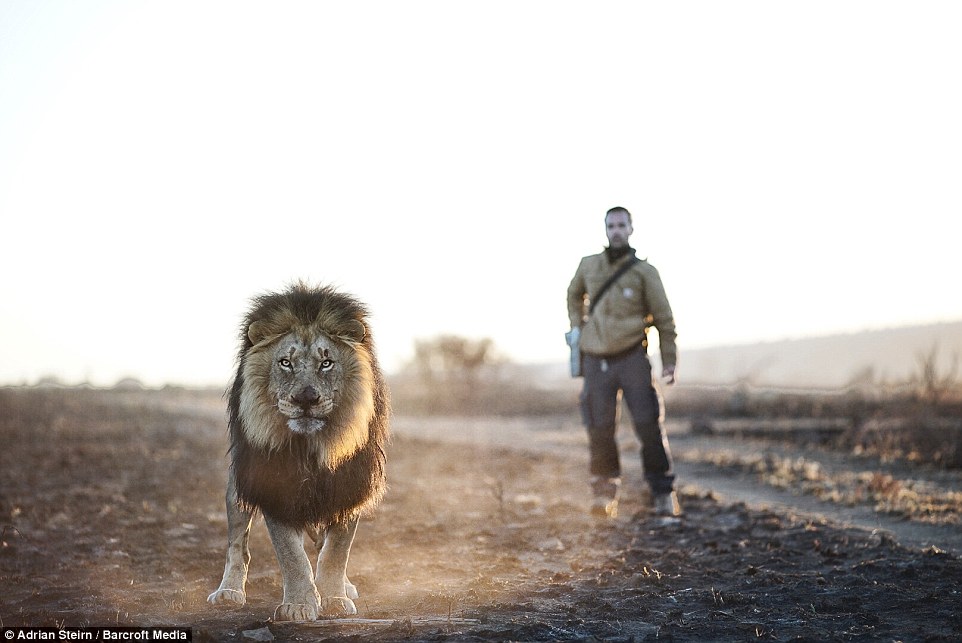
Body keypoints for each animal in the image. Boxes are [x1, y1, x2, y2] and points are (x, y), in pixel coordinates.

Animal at [208, 284, 388, 620]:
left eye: (326, 363)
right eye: (285, 363)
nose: (306, 399)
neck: (310, 446)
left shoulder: (349, 485)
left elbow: (336, 551)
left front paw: (334, 598)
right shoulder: (274, 488)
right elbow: (292, 556)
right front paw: (299, 605)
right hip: (237, 488)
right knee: (237, 546)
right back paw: (228, 592)